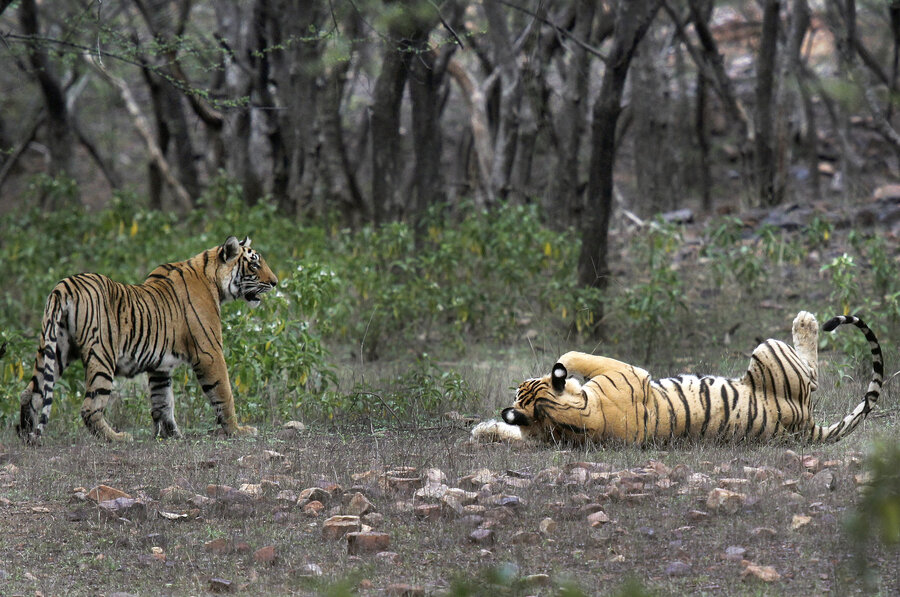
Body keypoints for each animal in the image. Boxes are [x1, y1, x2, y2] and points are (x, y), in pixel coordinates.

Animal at [17, 236, 277, 443]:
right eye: (255, 264)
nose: (275, 282)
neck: (213, 279)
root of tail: (65, 286)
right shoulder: (209, 353)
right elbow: (224, 393)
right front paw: (237, 430)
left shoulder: (160, 366)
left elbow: (163, 401)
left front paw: (172, 435)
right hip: (101, 355)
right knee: (90, 407)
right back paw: (117, 437)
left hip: (56, 348)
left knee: (31, 392)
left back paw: (25, 434)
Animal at [472, 311, 883, 445]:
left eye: (522, 387)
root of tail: (807, 425)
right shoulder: (625, 370)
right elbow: (573, 357)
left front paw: (483, 430)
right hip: (769, 350)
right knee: (812, 372)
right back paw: (806, 321)